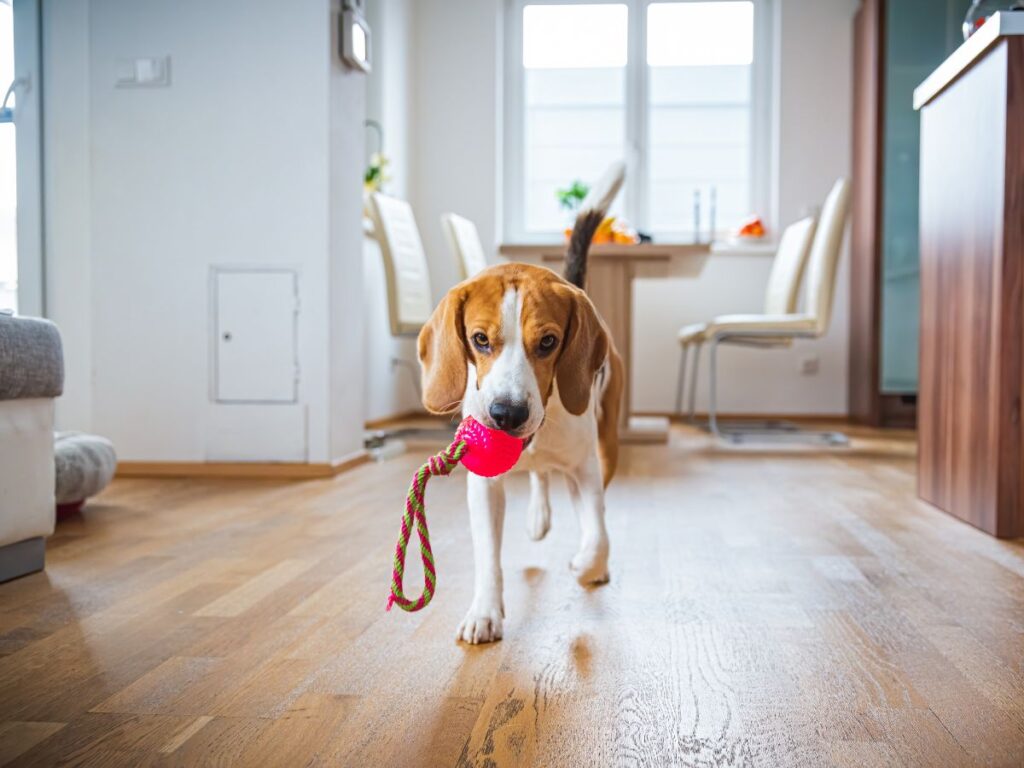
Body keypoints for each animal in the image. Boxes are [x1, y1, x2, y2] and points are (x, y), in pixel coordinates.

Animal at [415, 208, 622, 643]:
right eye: (479, 339)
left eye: (548, 342)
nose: (506, 414)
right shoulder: (483, 486)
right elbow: (487, 556)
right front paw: (484, 611)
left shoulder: (586, 469)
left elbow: (598, 534)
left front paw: (587, 565)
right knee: (539, 475)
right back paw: (537, 516)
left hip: (606, 446)